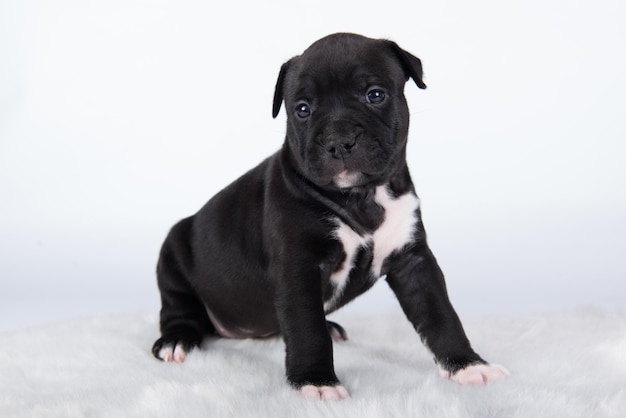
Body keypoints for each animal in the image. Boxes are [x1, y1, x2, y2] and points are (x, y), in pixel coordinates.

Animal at [152, 32, 508, 398]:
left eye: (375, 95)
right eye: (302, 109)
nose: (339, 139)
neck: (361, 197)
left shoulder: (414, 262)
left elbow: (441, 314)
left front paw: (468, 365)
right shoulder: (299, 270)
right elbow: (307, 329)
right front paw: (316, 382)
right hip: (173, 259)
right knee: (178, 309)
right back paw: (176, 341)